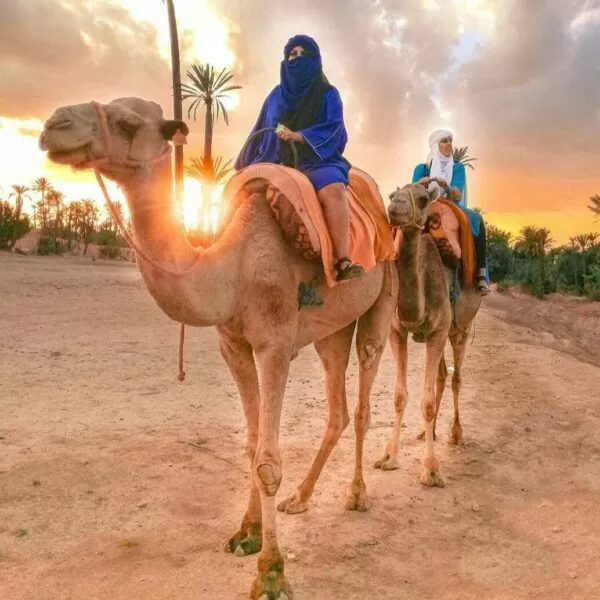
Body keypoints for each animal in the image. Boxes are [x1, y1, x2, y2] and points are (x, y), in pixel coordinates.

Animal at [38, 96, 398, 596]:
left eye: (128, 123)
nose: (55, 125)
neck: (231, 265)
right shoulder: (234, 346)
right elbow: (250, 447)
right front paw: (246, 534)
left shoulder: (274, 344)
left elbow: (268, 461)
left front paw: (271, 574)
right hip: (331, 330)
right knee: (339, 409)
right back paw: (300, 499)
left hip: (383, 295)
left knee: (364, 399)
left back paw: (357, 495)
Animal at [372, 183, 480, 488]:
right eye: (392, 194)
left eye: (422, 199)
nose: (394, 207)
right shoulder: (397, 332)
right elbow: (400, 396)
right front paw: (389, 457)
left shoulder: (439, 331)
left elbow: (428, 402)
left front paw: (431, 470)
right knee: (443, 375)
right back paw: (425, 434)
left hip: (459, 329)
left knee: (456, 378)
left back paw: (455, 434)